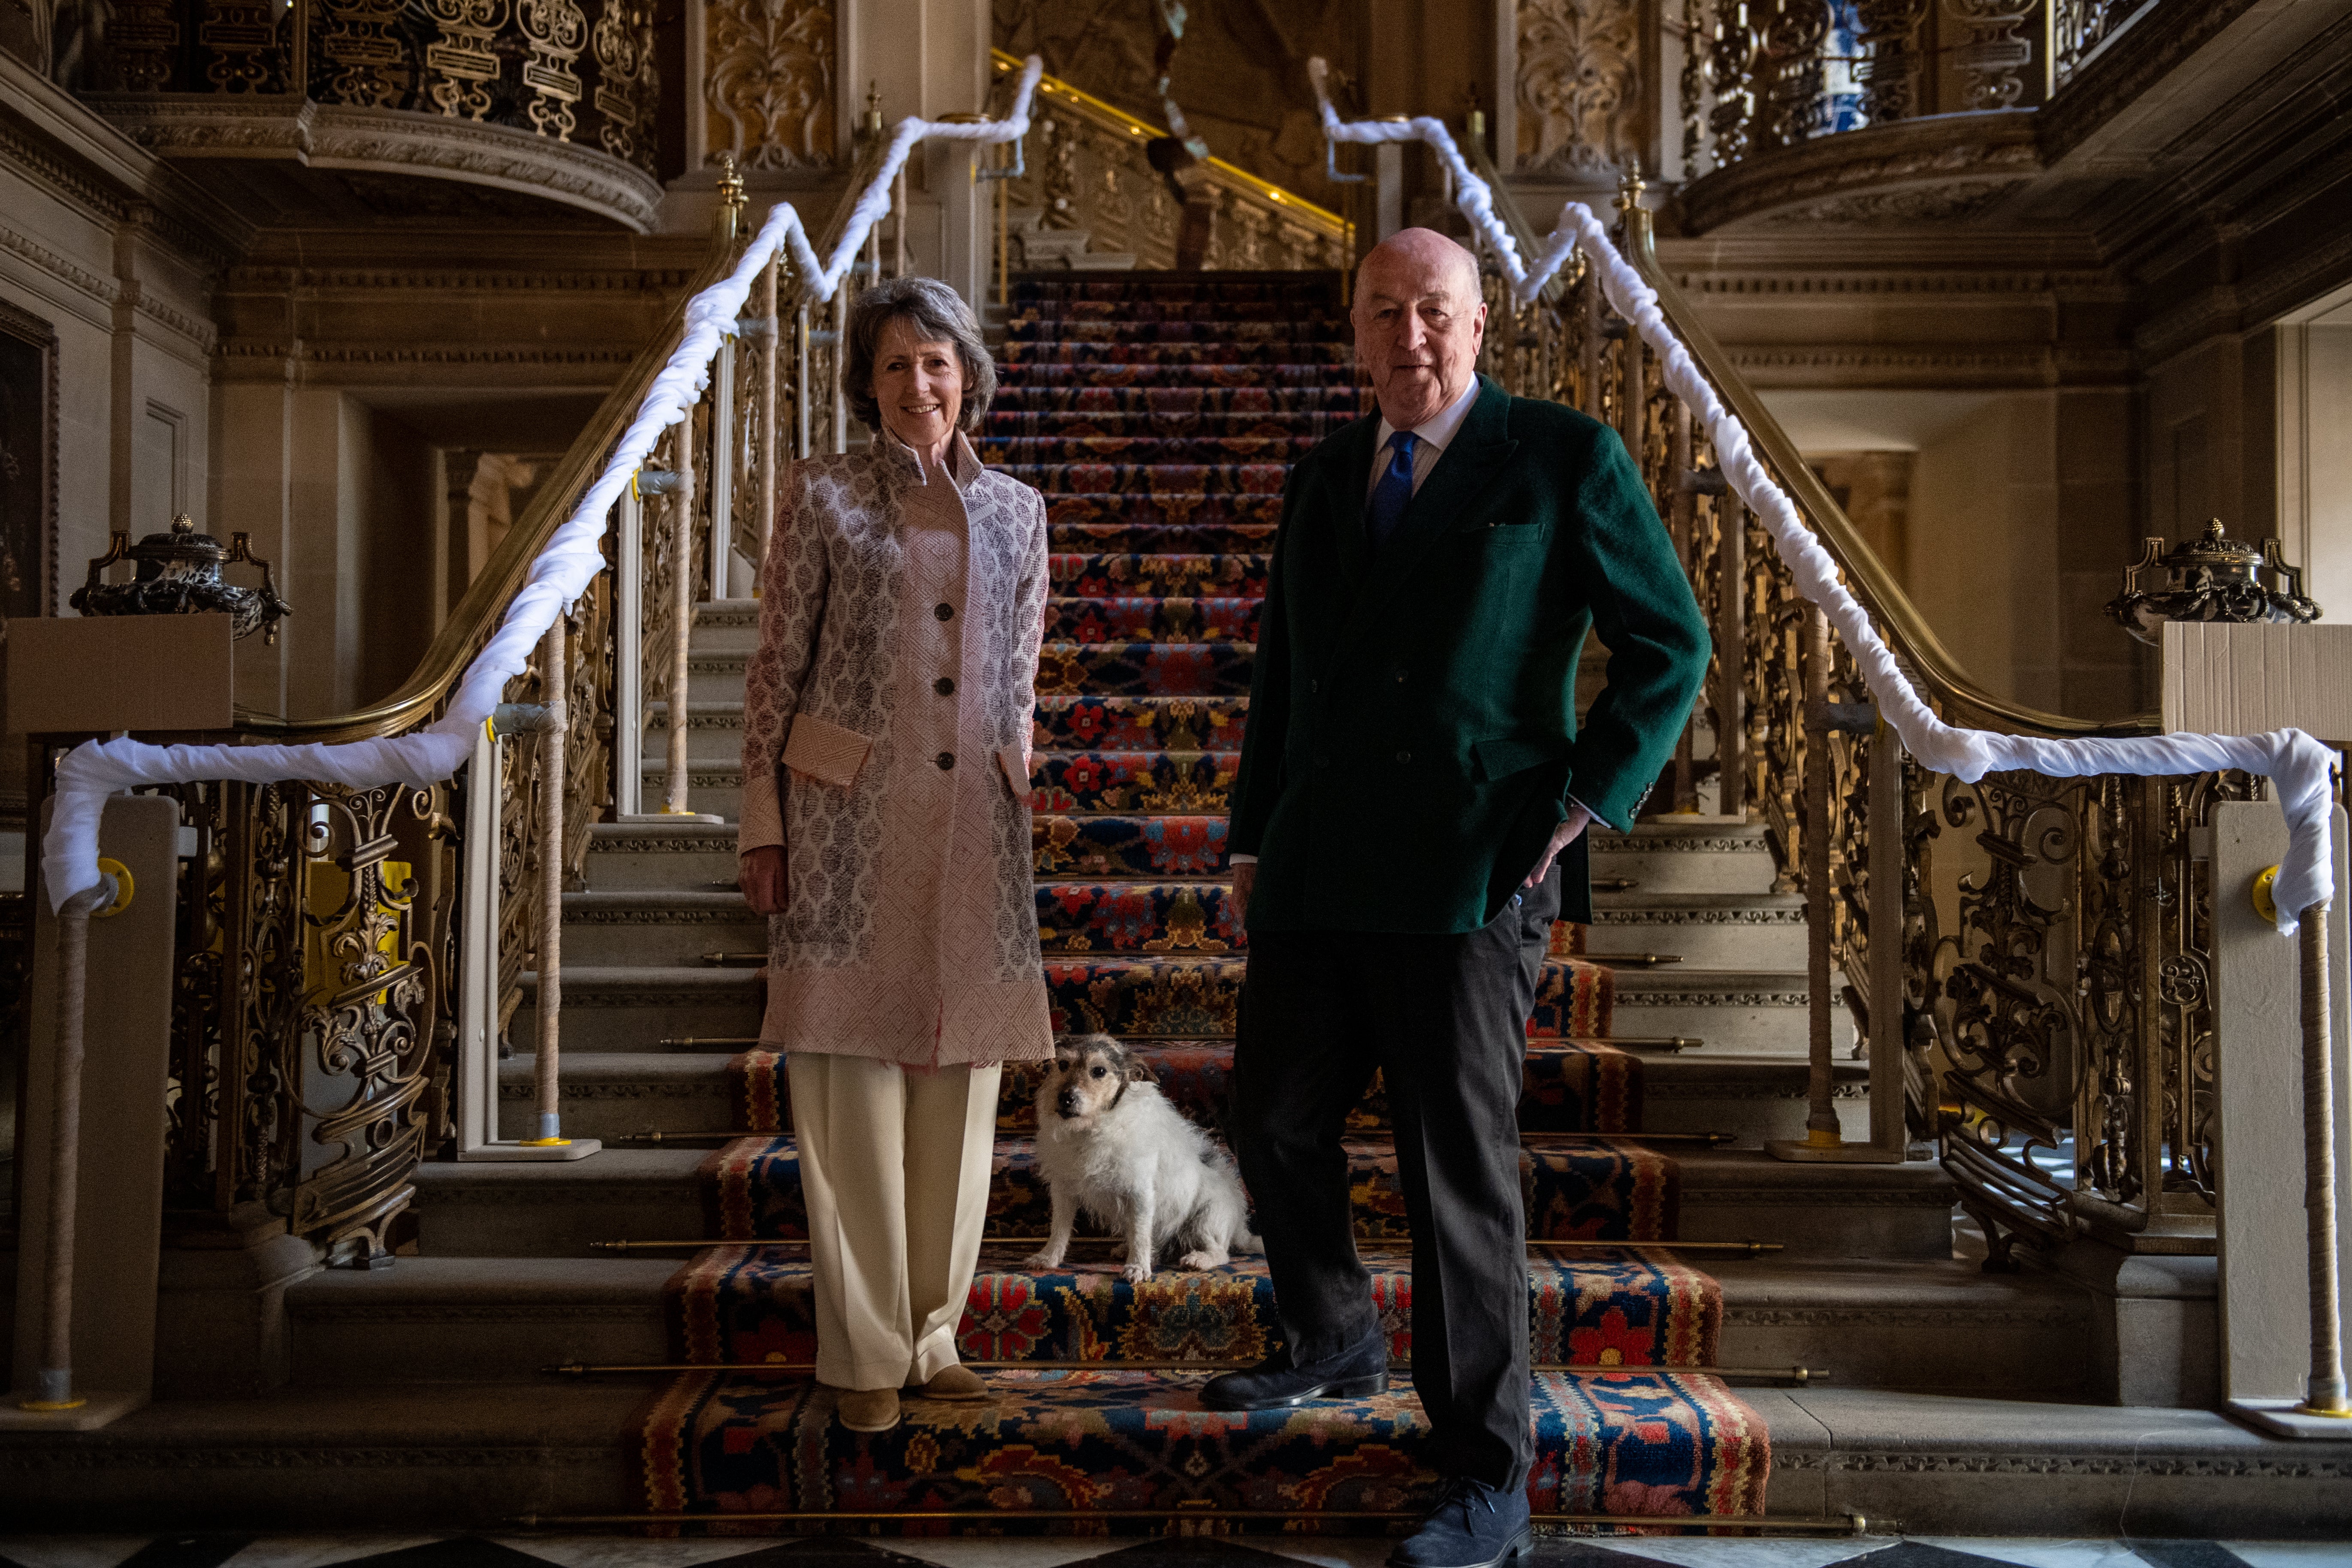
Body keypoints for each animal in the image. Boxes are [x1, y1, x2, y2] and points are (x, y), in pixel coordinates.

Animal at [1021, 1034, 1260, 1278]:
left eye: (1099, 1071)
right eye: (1063, 1065)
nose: (1065, 1098)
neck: (1092, 1127)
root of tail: (1240, 1227)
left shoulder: (1140, 1192)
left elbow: (1140, 1234)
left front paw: (1137, 1267)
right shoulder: (1063, 1190)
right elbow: (1059, 1229)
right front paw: (1048, 1258)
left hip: (1206, 1219)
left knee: (1221, 1253)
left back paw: (1197, 1260)